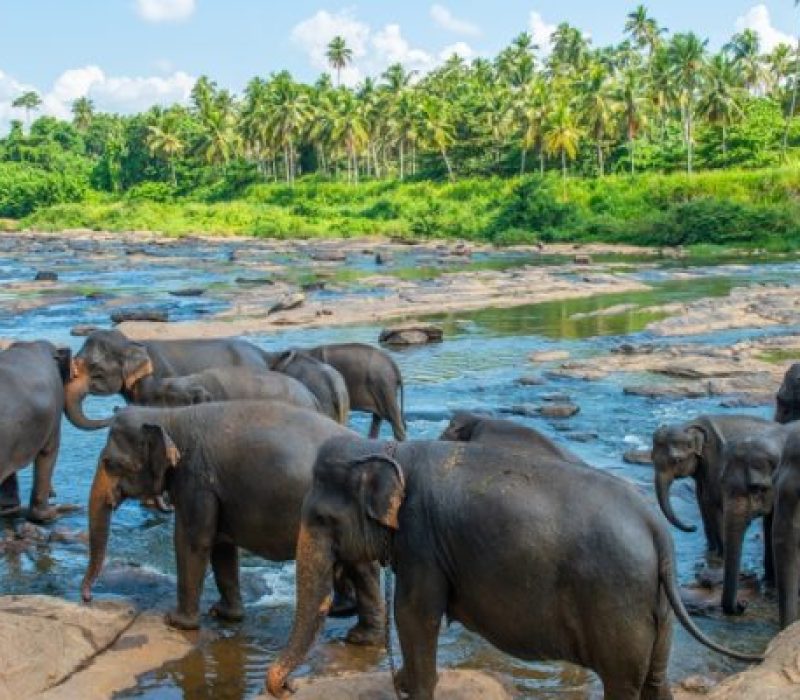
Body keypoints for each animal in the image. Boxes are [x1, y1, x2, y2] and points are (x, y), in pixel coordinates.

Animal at [81, 401, 382, 643]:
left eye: (110, 463)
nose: (87, 598)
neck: (168, 415)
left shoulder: (196, 481)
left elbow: (192, 541)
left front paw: (177, 622)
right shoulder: (217, 492)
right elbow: (221, 546)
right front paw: (225, 615)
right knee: (362, 567)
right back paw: (358, 632)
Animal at [267, 438, 762, 700]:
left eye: (322, 519)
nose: (288, 688)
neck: (388, 450)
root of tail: (656, 528)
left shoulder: (421, 543)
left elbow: (415, 616)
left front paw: (413, 687)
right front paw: (403, 682)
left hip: (617, 600)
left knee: (623, 682)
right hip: (655, 604)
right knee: (655, 680)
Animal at [652, 414, 774, 556]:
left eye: (677, 460)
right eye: (651, 457)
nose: (693, 527)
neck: (689, 425)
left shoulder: (717, 461)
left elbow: (714, 503)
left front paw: (720, 555)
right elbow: (703, 501)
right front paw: (711, 550)